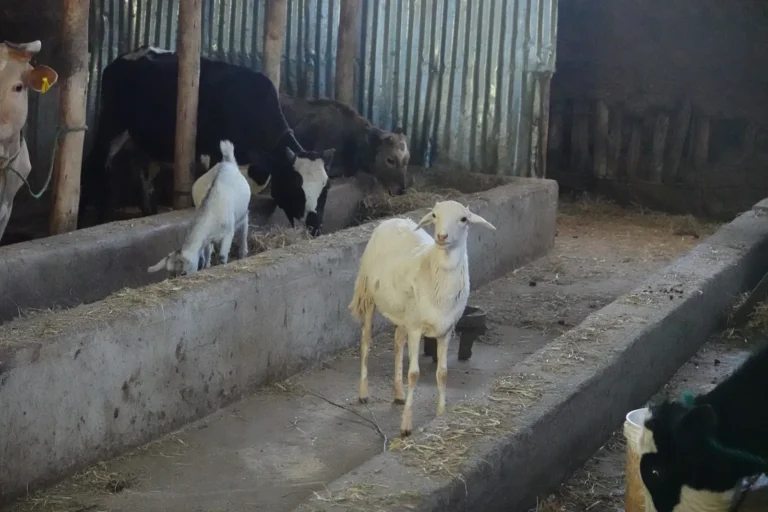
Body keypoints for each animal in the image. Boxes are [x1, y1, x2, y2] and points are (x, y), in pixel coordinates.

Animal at [80, 46, 334, 236]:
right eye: (295, 185)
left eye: (326, 188)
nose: (314, 227)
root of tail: (129, 55)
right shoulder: (215, 156)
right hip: (112, 125)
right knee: (97, 166)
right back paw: (94, 218)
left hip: (147, 143)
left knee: (144, 177)